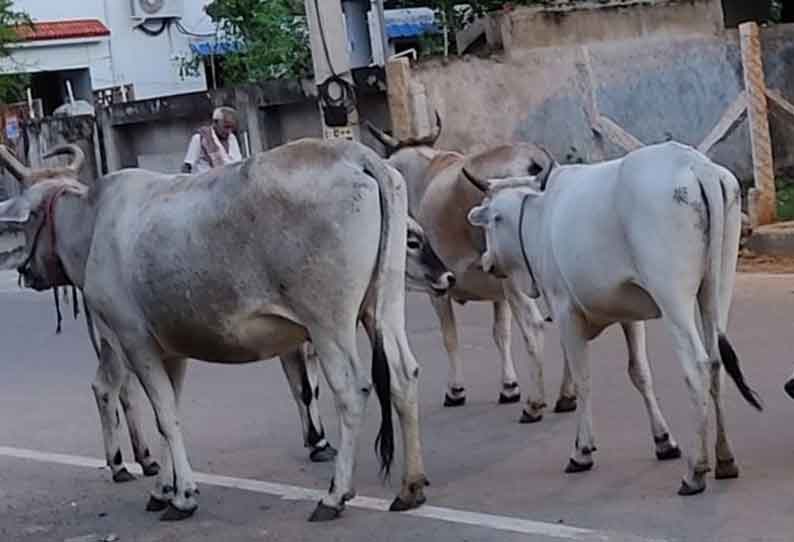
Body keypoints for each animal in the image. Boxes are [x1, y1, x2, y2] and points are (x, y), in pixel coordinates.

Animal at [0, 139, 426, 524]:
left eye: (31, 219)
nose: (25, 271)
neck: (92, 225)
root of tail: (356, 154)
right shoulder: (171, 350)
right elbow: (167, 415)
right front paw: (163, 490)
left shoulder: (135, 341)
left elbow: (165, 417)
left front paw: (183, 497)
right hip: (383, 307)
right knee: (403, 376)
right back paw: (411, 487)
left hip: (328, 323)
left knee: (352, 391)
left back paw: (335, 495)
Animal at [470, 142, 760, 500]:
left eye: (491, 221)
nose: (486, 262)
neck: (538, 218)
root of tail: (695, 164)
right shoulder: (629, 316)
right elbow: (640, 374)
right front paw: (663, 441)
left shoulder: (565, 311)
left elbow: (583, 379)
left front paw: (581, 450)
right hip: (716, 288)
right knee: (718, 361)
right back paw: (724, 459)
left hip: (672, 296)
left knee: (698, 366)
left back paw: (696, 471)